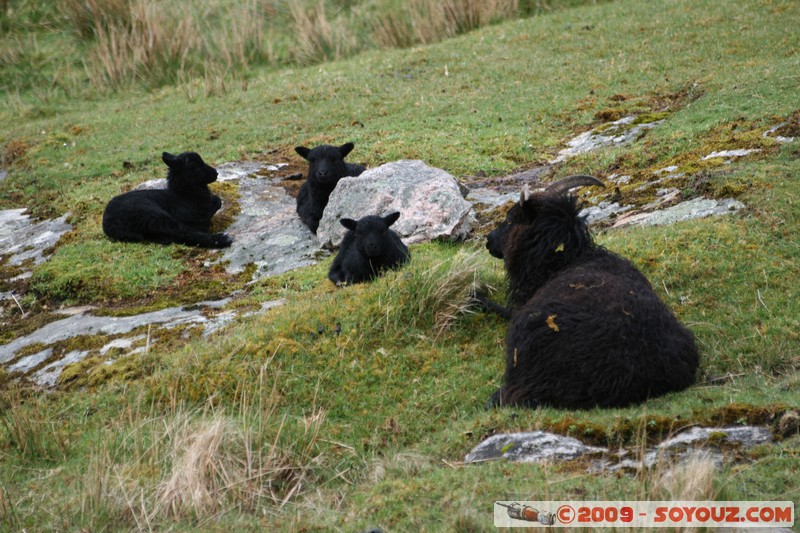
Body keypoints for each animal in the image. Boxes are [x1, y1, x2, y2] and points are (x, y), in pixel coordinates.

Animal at [101, 151, 230, 248]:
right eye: (195, 166)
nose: (216, 173)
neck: (183, 194)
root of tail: (109, 223)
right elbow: (216, 201)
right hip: (153, 214)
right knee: (183, 232)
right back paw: (220, 240)